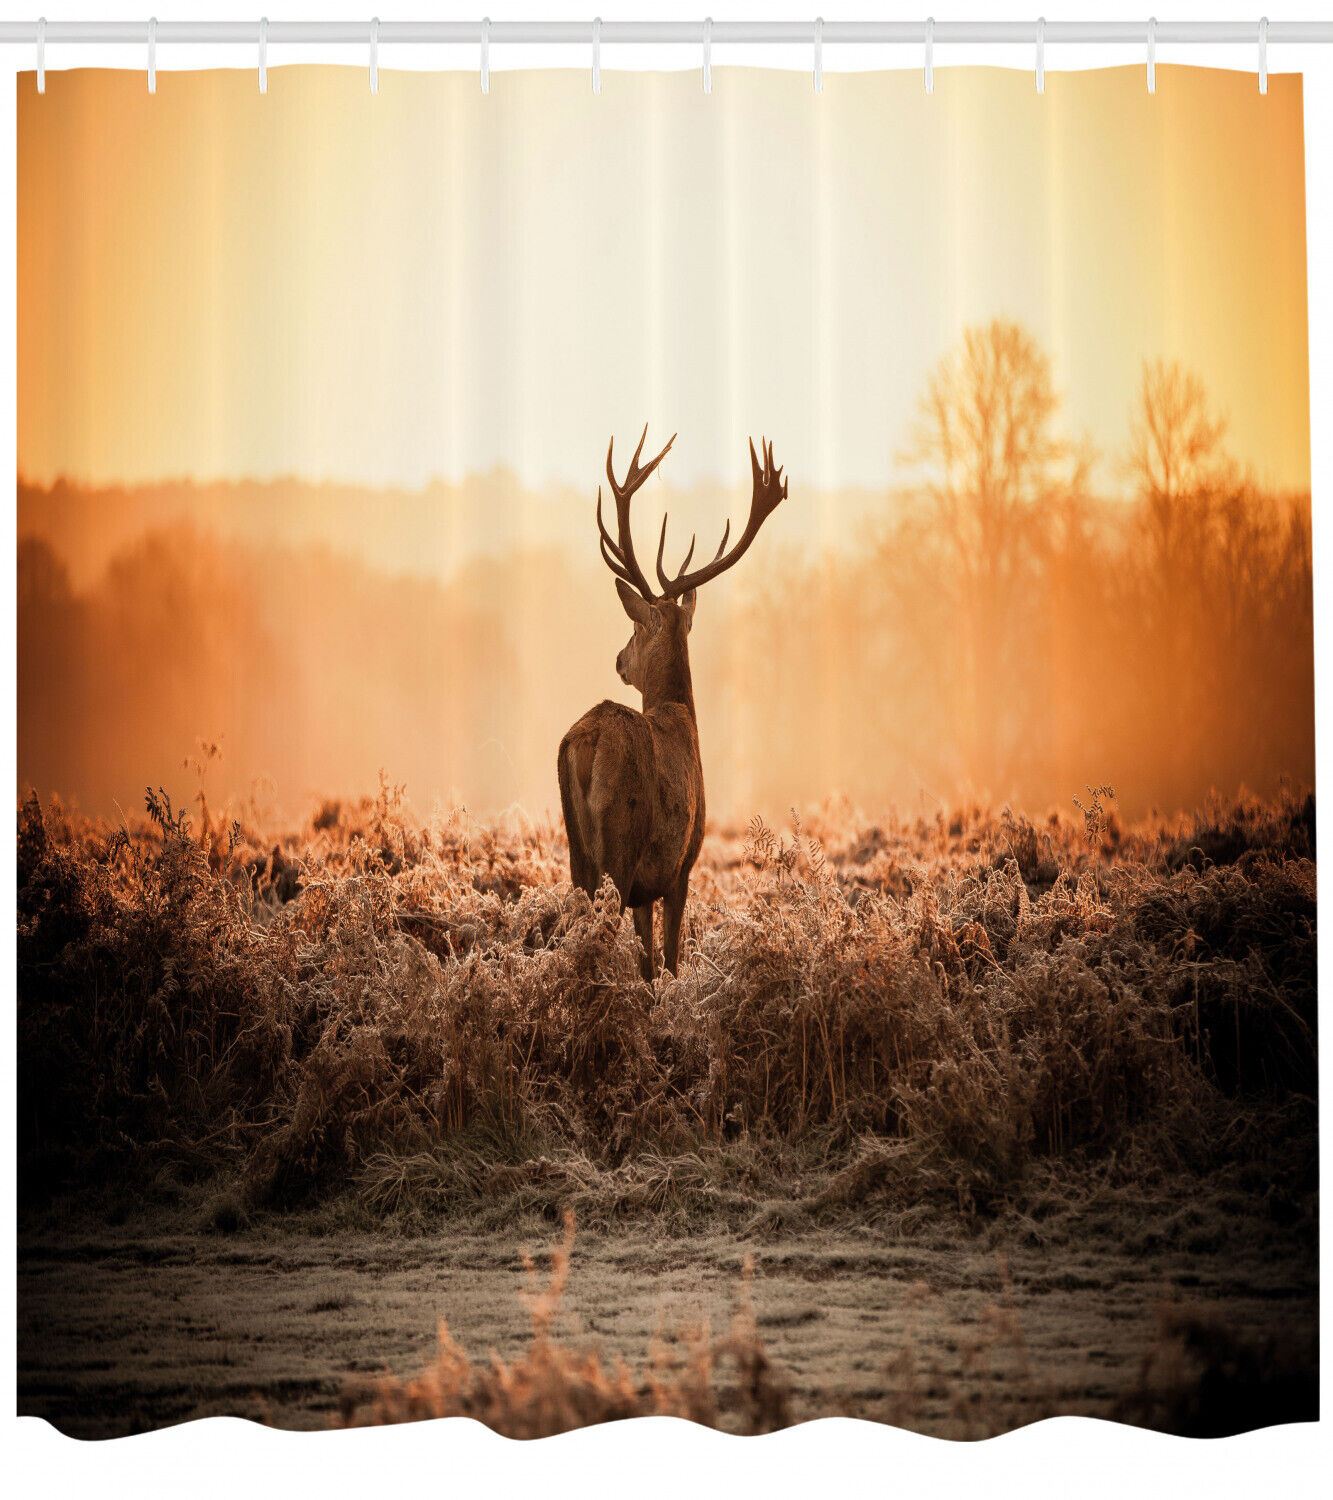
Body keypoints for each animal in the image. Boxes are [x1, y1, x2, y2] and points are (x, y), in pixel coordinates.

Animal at [558, 428, 788, 982]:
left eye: (635, 627)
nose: (619, 659)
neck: (683, 716)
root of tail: (585, 741)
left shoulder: (650, 886)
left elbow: (647, 960)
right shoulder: (682, 863)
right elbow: (671, 956)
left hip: (577, 853)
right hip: (620, 847)